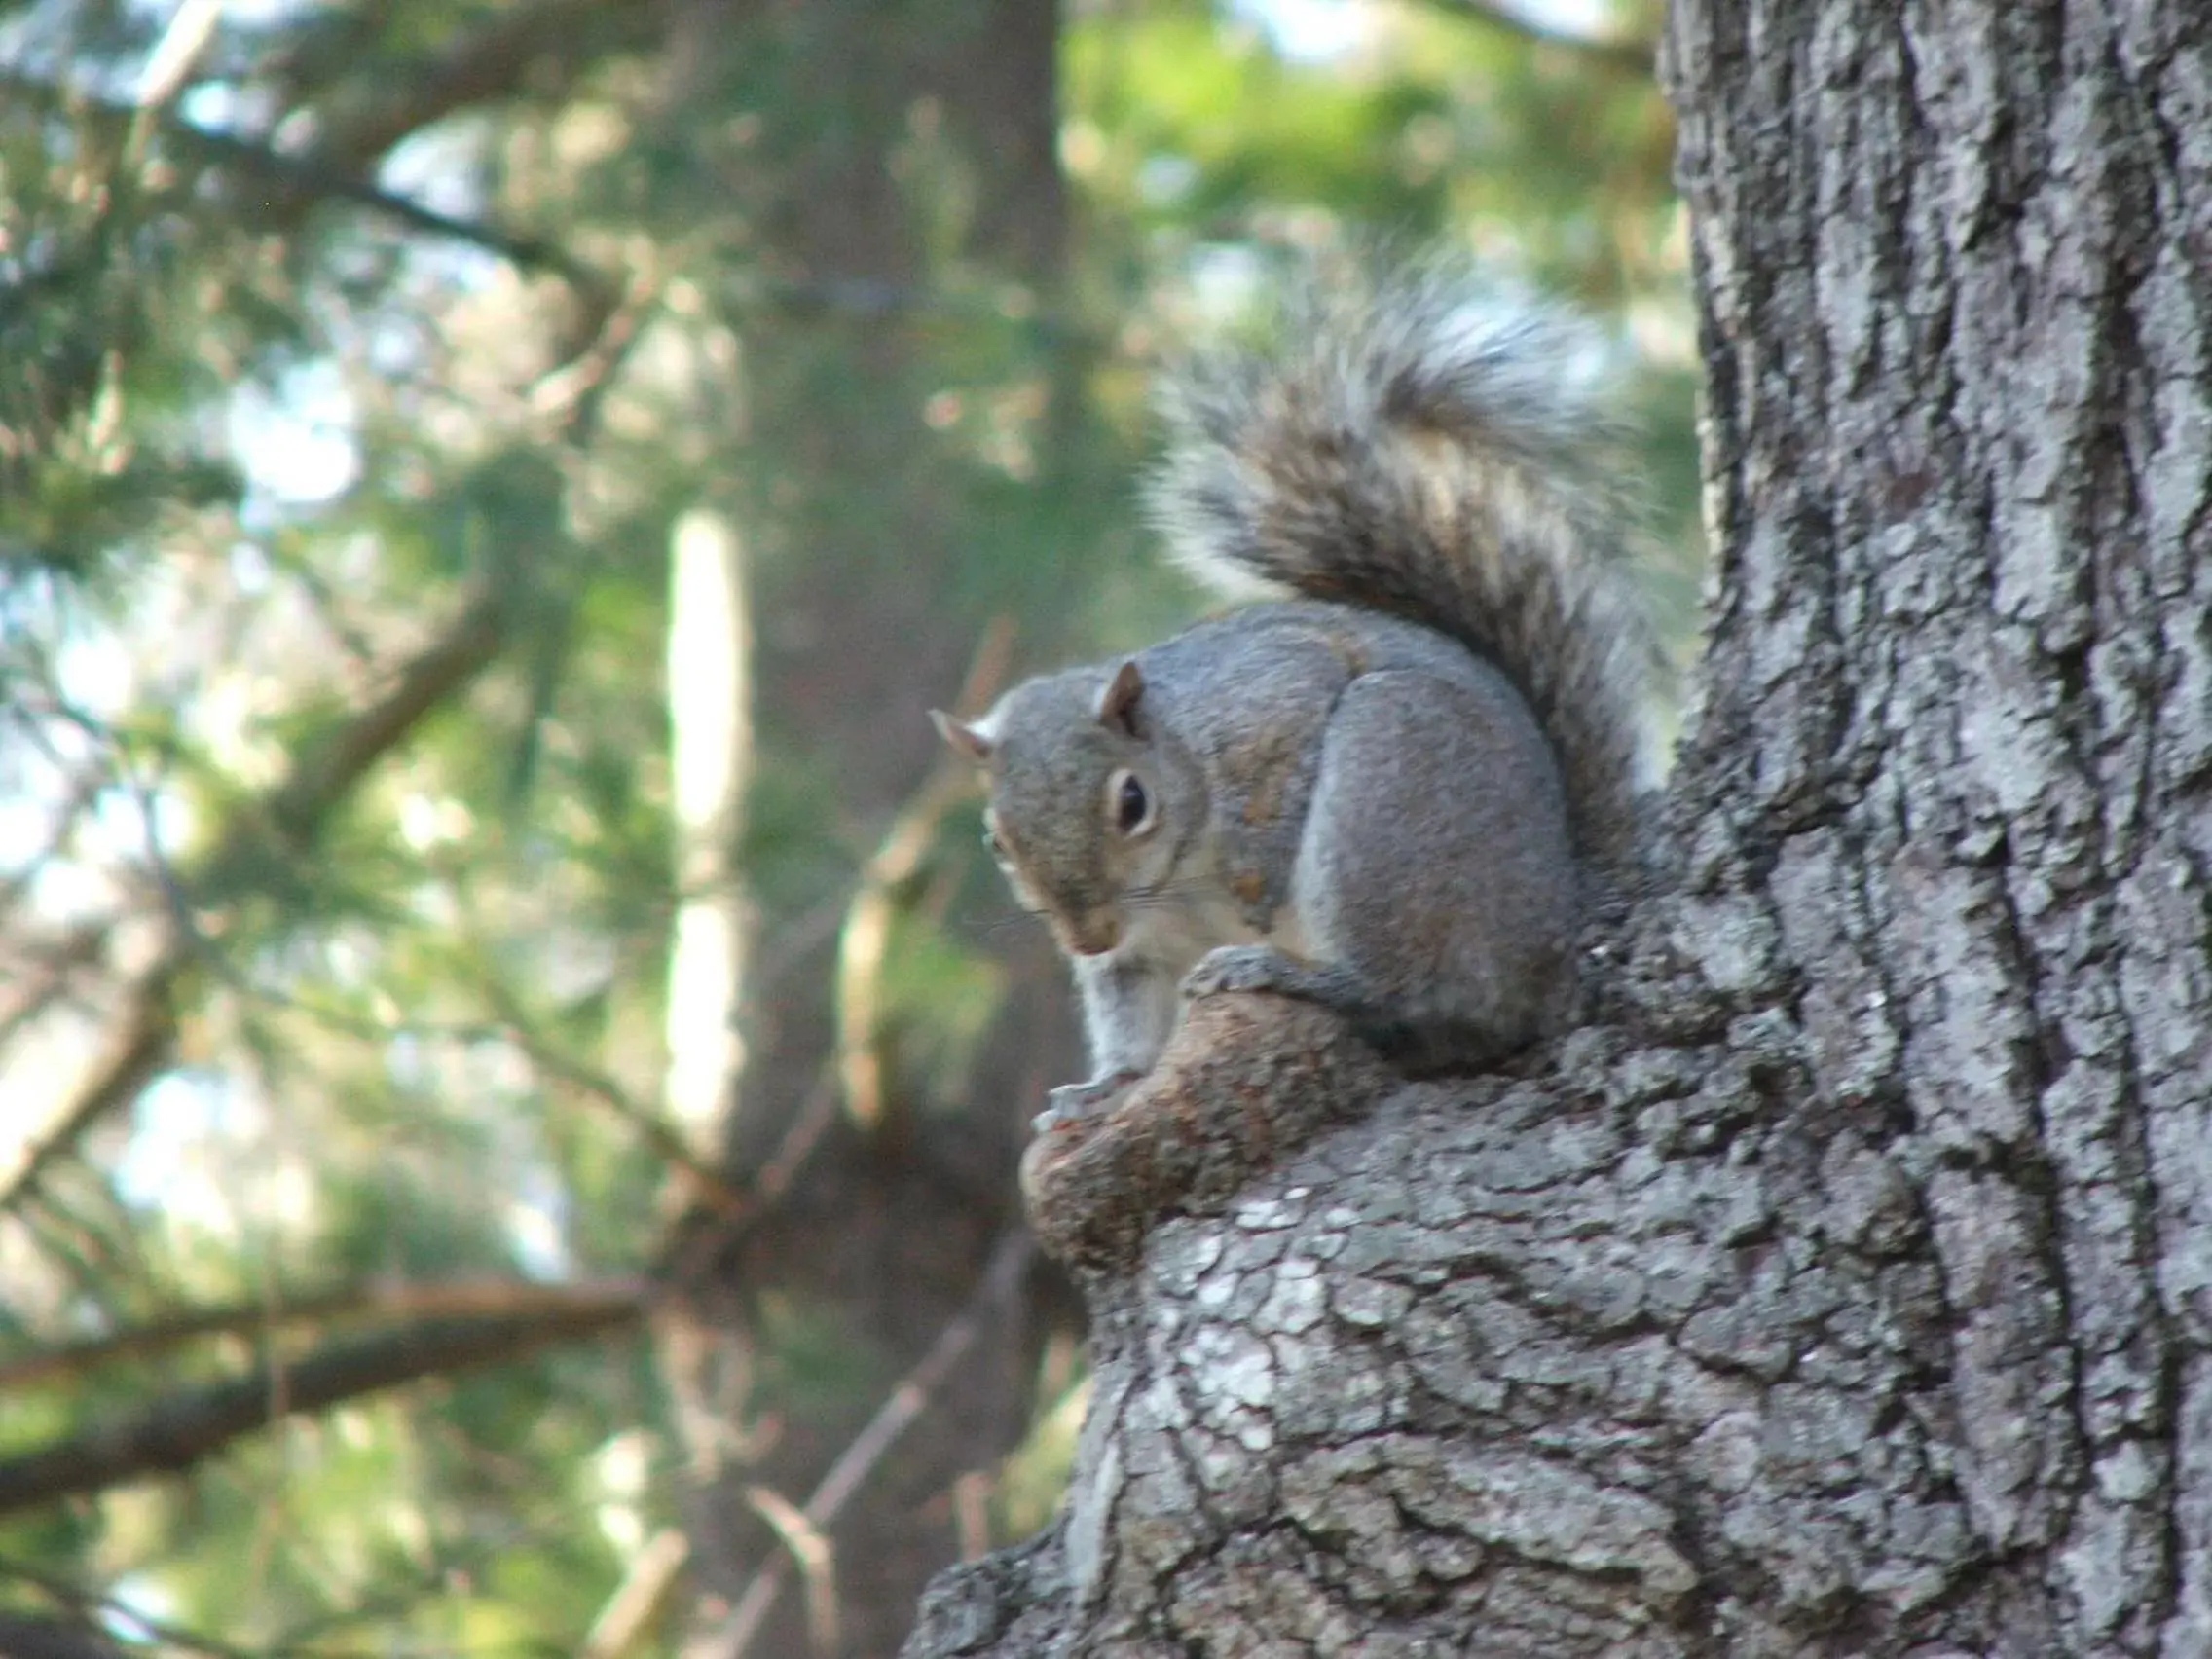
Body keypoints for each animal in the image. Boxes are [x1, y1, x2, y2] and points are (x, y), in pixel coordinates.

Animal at [933, 259, 1663, 1141]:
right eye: (996, 841)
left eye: (1132, 803)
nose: (1087, 936)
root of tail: (1551, 940)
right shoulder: (1137, 957)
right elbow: (1131, 1017)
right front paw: (1107, 1088)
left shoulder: (1271, 699)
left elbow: (1284, 766)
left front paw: (1256, 888)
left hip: (1391, 792)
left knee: (1398, 986)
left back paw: (1288, 970)